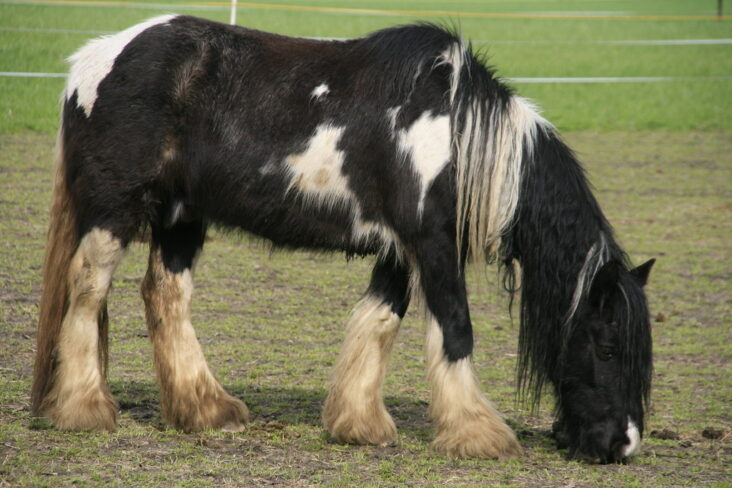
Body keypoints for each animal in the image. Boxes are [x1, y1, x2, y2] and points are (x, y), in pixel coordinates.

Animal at [31, 15, 656, 464]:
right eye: (606, 347)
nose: (623, 444)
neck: (457, 136)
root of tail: (94, 61)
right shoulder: (432, 245)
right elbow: (455, 329)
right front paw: (479, 434)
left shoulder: (399, 252)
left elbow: (380, 322)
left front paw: (359, 424)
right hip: (114, 213)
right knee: (87, 291)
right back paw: (85, 409)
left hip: (183, 216)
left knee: (165, 295)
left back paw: (206, 411)